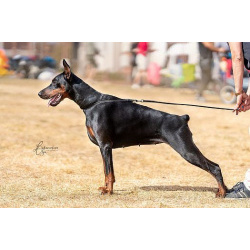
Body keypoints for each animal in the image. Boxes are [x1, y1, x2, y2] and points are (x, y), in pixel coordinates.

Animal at [38, 59, 228, 197]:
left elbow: (109, 172)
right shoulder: (104, 148)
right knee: (215, 165)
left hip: (186, 149)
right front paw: (107, 189)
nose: (39, 93)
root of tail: (182, 118)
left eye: (54, 82)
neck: (91, 103)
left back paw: (222, 193)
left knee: (214, 167)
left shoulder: (105, 146)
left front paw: (108, 192)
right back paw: (223, 190)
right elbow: (108, 172)